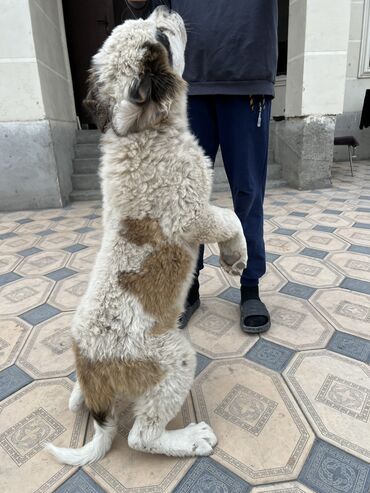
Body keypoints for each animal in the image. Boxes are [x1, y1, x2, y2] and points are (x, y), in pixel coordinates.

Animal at [47, 5, 249, 464]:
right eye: (161, 34)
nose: (164, 7)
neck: (143, 131)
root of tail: (94, 371)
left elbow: (230, 216)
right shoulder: (191, 214)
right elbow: (231, 217)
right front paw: (235, 255)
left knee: (86, 401)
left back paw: (78, 396)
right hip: (173, 360)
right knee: (142, 437)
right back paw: (189, 439)